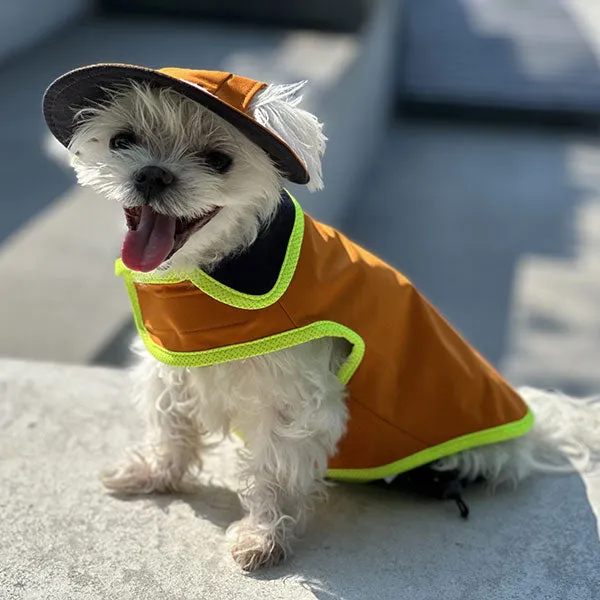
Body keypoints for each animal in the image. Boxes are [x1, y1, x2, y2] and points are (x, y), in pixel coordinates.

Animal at [43, 65, 600, 572]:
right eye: (123, 140)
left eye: (219, 160)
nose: (151, 174)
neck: (212, 271)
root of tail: (533, 426)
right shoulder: (170, 361)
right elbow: (170, 423)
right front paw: (158, 472)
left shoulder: (289, 398)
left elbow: (271, 468)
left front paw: (264, 535)